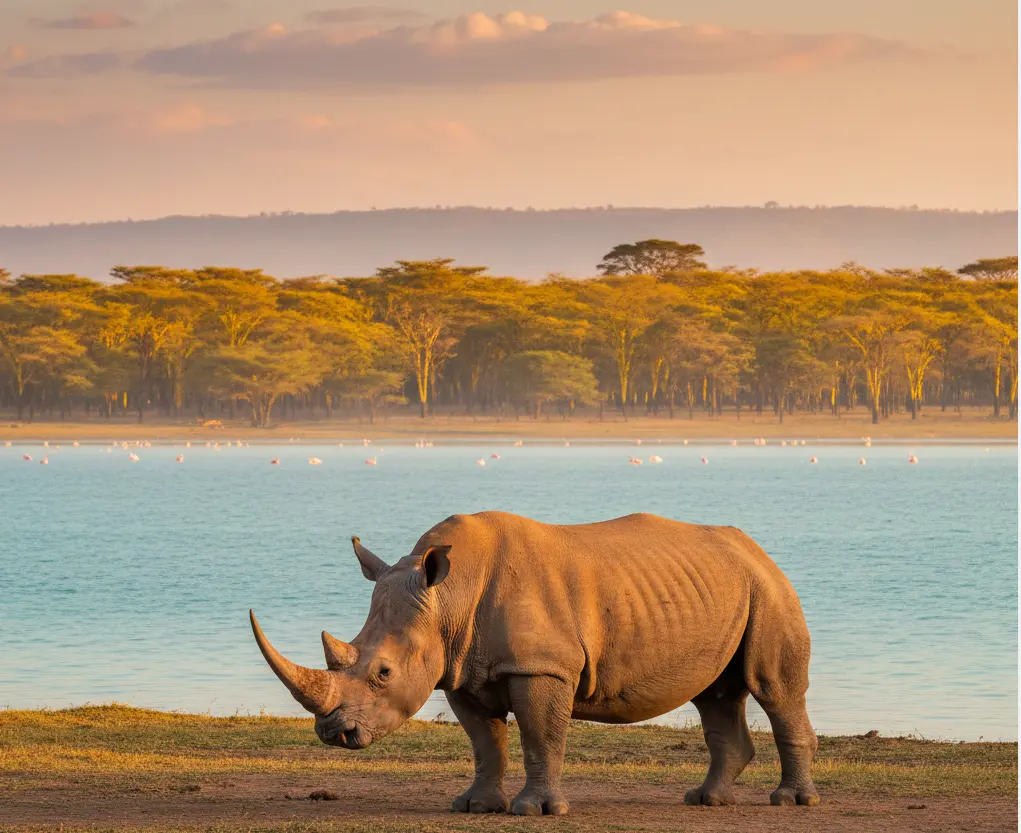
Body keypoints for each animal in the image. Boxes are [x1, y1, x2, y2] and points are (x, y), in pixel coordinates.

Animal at [250, 511, 820, 815]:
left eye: (383, 673)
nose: (334, 734)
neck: (448, 597)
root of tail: (757, 548)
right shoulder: (460, 668)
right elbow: (486, 742)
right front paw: (476, 807)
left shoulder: (541, 666)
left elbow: (540, 735)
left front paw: (537, 811)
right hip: (723, 588)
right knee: (715, 694)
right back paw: (704, 800)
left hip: (768, 588)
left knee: (773, 689)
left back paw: (789, 802)